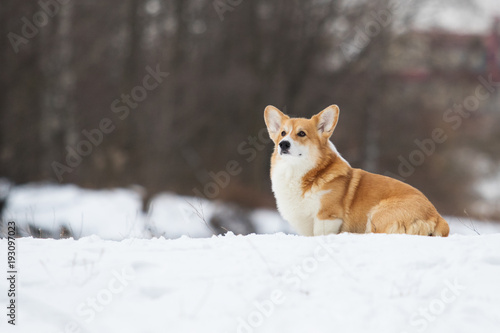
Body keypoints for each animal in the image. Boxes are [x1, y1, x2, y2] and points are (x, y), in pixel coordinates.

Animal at [264, 104, 452, 236]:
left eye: (302, 134)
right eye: (283, 133)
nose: (283, 144)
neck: (297, 172)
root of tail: (437, 216)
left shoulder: (327, 217)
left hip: (378, 214)